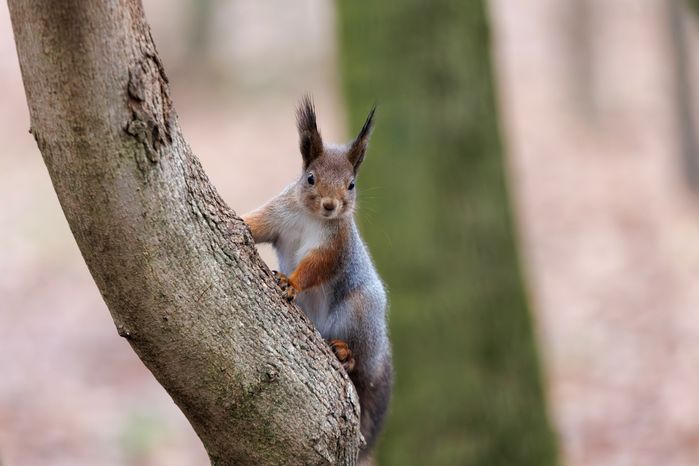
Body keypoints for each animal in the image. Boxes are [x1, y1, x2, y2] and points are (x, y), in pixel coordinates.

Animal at [243, 96, 392, 461]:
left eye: (351, 184)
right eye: (310, 178)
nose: (330, 205)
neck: (309, 216)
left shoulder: (334, 247)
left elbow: (314, 268)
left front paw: (291, 283)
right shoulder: (278, 215)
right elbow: (257, 224)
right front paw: (239, 219)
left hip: (360, 311)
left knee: (359, 364)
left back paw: (346, 353)